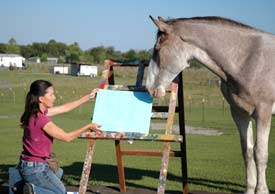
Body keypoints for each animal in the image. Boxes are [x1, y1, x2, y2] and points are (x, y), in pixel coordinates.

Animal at [147, 15, 275, 194]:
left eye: (158, 50)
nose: (149, 88)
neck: (248, 60)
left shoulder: (263, 113)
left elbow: (260, 153)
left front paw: (262, 190)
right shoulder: (240, 114)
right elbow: (248, 152)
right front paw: (250, 189)